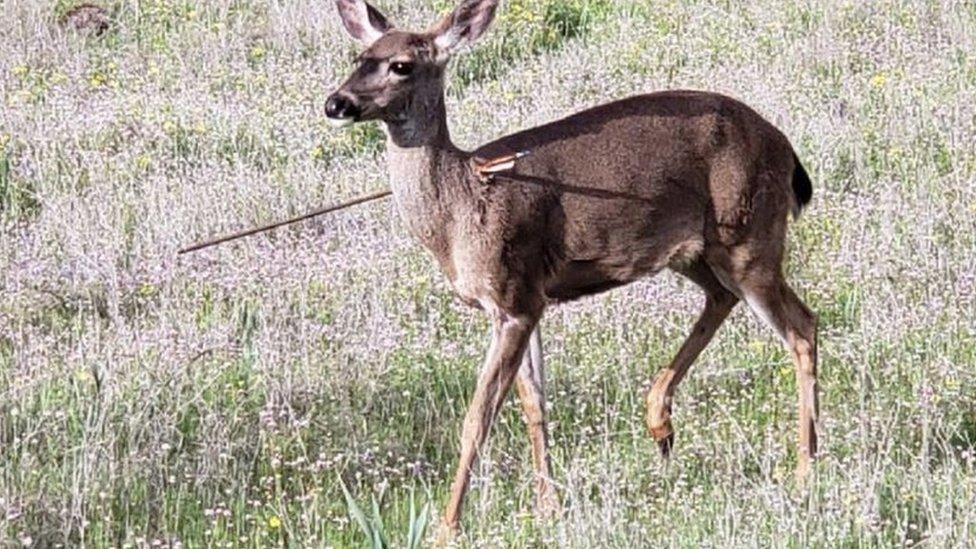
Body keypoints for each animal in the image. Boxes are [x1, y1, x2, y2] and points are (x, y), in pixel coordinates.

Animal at [326, 0, 816, 536]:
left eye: (401, 65)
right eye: (359, 57)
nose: (336, 104)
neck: (460, 208)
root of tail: (785, 147)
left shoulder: (513, 294)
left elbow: (478, 417)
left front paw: (447, 527)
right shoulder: (526, 299)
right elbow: (533, 403)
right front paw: (548, 506)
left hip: (749, 234)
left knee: (801, 327)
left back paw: (804, 468)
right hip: (697, 251)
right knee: (726, 299)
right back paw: (660, 422)